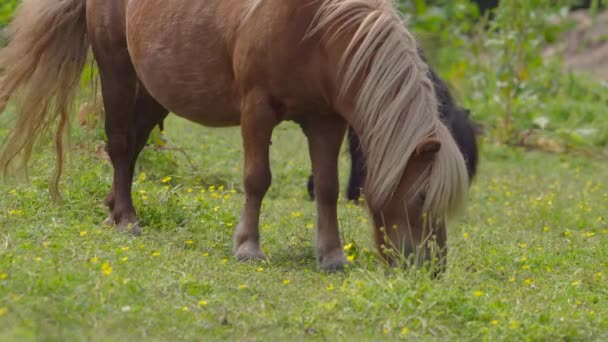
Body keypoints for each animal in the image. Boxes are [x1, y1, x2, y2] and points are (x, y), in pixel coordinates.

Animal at [0, 0, 466, 272]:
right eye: (421, 197)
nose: (433, 266)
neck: (318, 31)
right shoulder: (256, 109)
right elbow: (257, 180)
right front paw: (248, 247)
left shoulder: (325, 120)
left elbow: (328, 187)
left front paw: (331, 256)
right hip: (116, 66)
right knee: (117, 142)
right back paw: (127, 220)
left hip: (155, 89)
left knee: (131, 146)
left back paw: (115, 208)